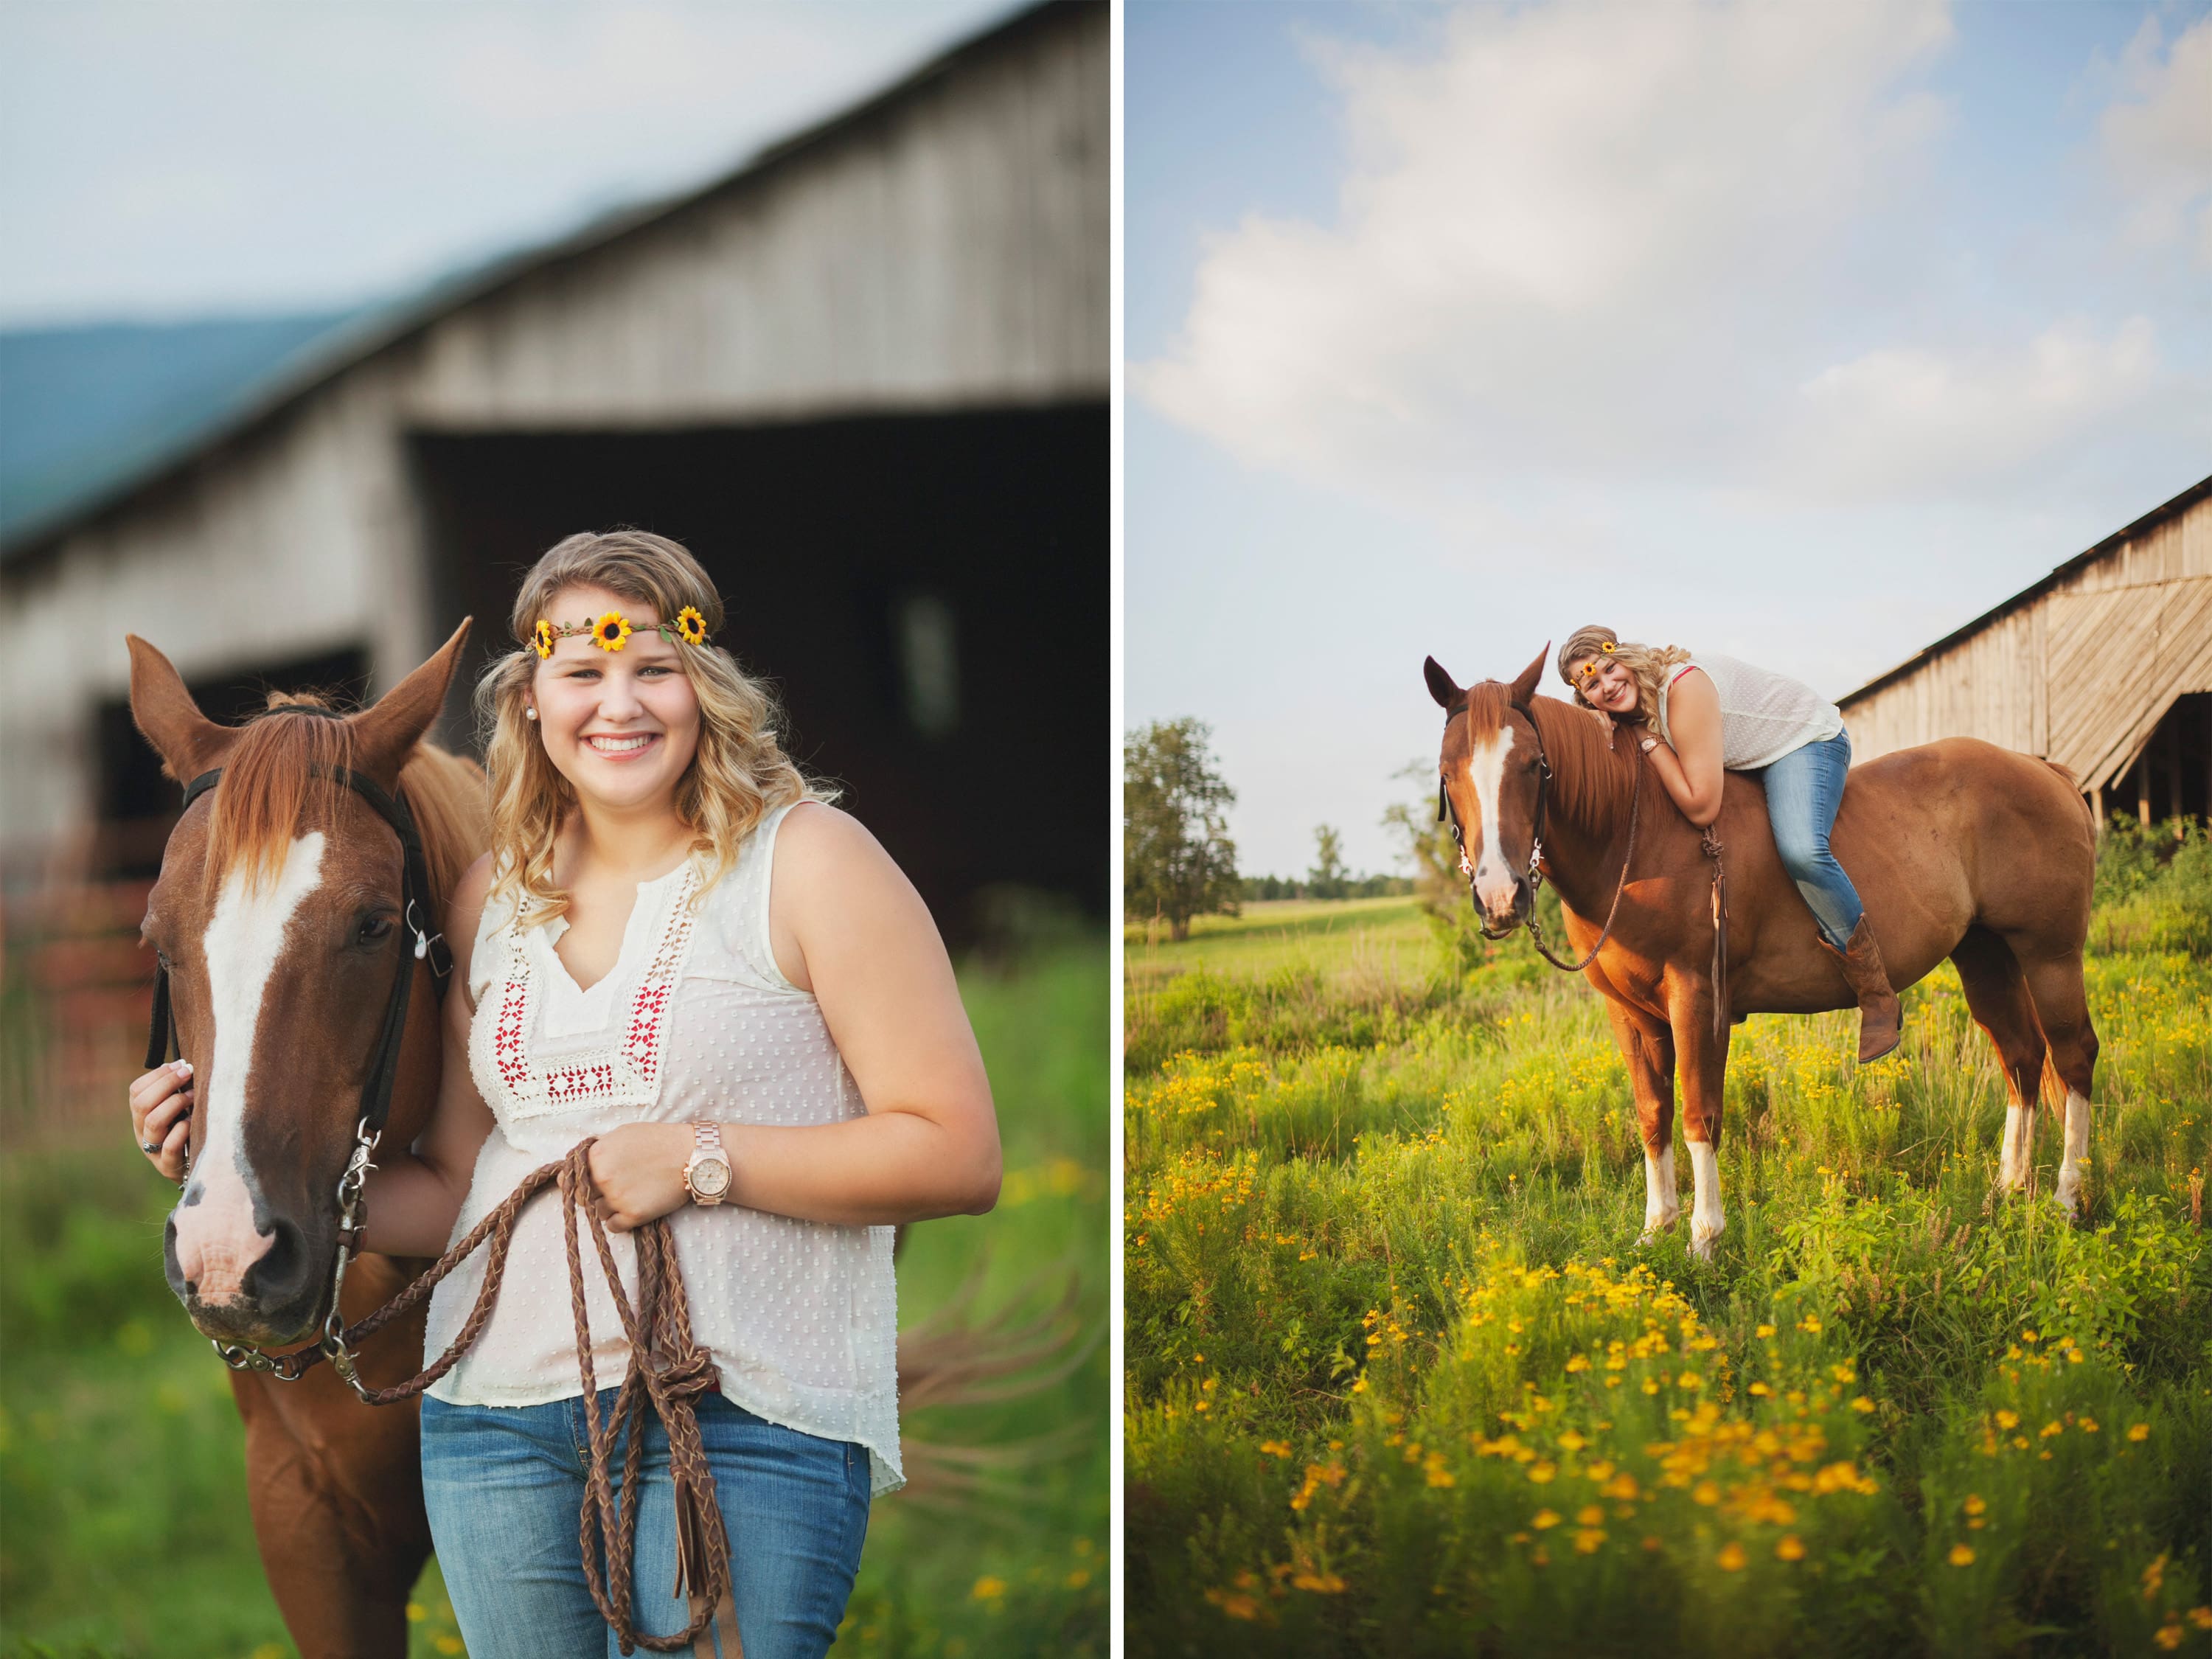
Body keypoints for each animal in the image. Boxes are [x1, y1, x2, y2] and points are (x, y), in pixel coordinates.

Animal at [1425, 646, 2097, 1256]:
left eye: (1534, 765)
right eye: (1447, 773)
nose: (1501, 896)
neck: (1635, 837)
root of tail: (2044, 770)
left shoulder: (1697, 999)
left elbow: (1699, 1114)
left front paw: (1703, 1238)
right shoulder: (1629, 1014)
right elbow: (1652, 1115)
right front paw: (1655, 1229)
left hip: (2051, 956)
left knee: (2073, 1056)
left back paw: (2067, 1200)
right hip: (1985, 954)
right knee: (2020, 1058)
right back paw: (2007, 1190)